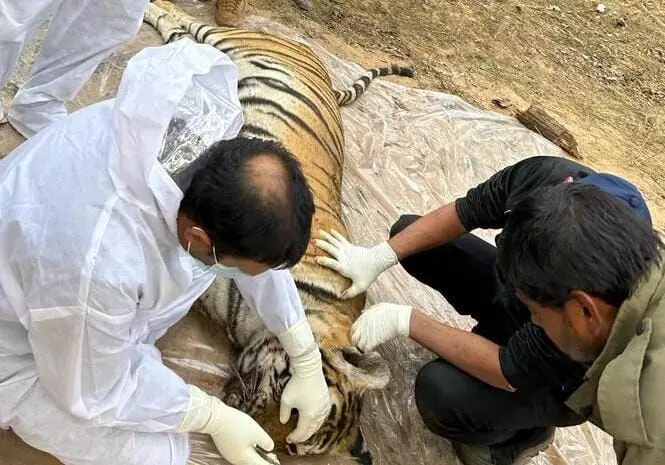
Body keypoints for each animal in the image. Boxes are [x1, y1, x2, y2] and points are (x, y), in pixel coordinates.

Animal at [144, 1, 414, 463]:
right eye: (293, 409)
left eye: (293, 446)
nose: (266, 441)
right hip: (226, 39)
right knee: (179, 19)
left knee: (177, 35)